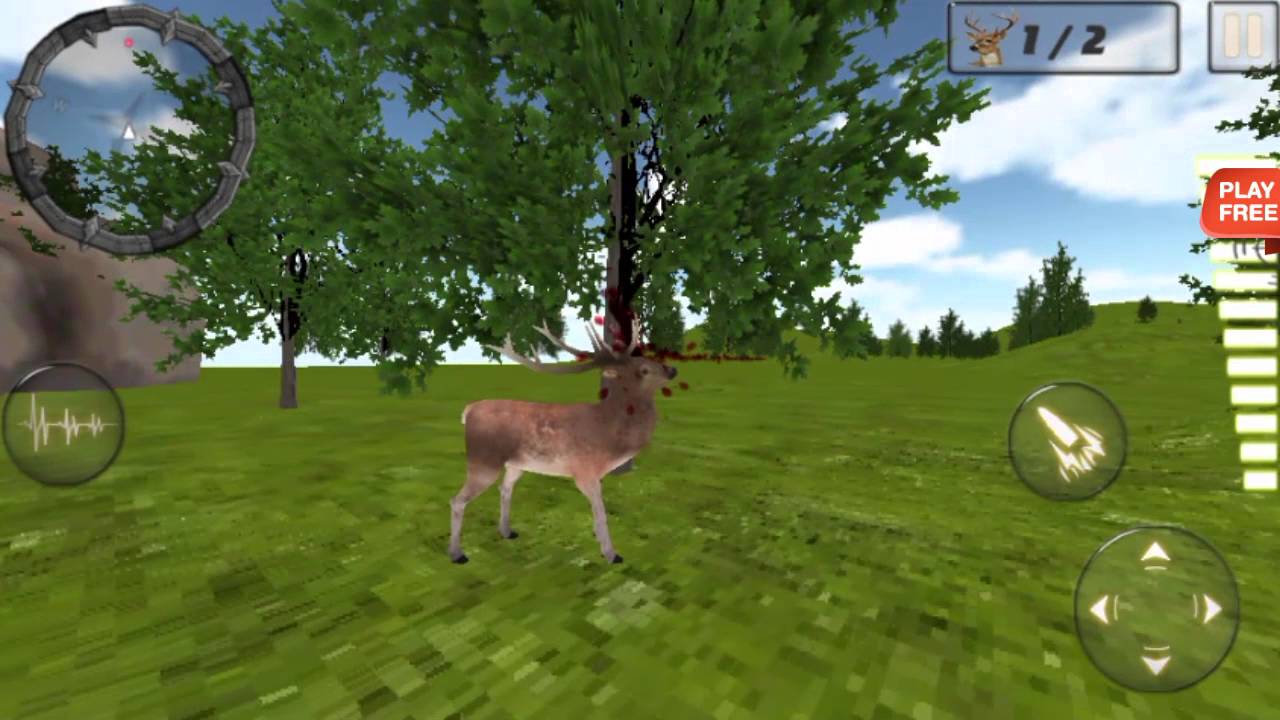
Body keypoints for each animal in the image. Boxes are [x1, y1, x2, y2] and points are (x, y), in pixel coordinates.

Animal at [449, 316, 676, 565]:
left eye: (649, 358)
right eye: (643, 370)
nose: (672, 369)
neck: (610, 435)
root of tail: (468, 411)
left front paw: (600, 541)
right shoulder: (584, 470)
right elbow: (601, 513)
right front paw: (611, 554)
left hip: (516, 464)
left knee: (505, 489)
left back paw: (507, 531)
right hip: (483, 459)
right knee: (457, 500)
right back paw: (457, 554)